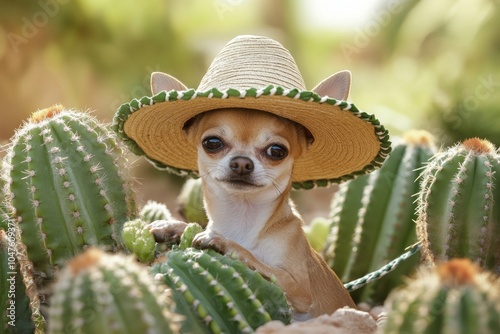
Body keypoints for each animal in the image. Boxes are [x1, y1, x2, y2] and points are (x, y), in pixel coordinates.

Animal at [148, 86, 356, 318]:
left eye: (277, 151)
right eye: (212, 143)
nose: (241, 163)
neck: (242, 219)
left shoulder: (300, 289)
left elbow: (254, 259)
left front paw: (224, 242)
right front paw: (171, 226)